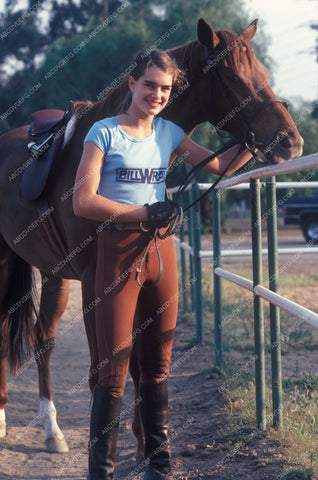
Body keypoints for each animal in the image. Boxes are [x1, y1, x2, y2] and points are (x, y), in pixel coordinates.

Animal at [0, 17, 304, 454]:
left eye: (262, 71)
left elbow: (136, 362)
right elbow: (105, 366)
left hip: (52, 272)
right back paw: (6, 417)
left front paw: (145, 438)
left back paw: (52, 430)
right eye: (232, 76)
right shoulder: (96, 282)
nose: (291, 141)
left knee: (43, 339)